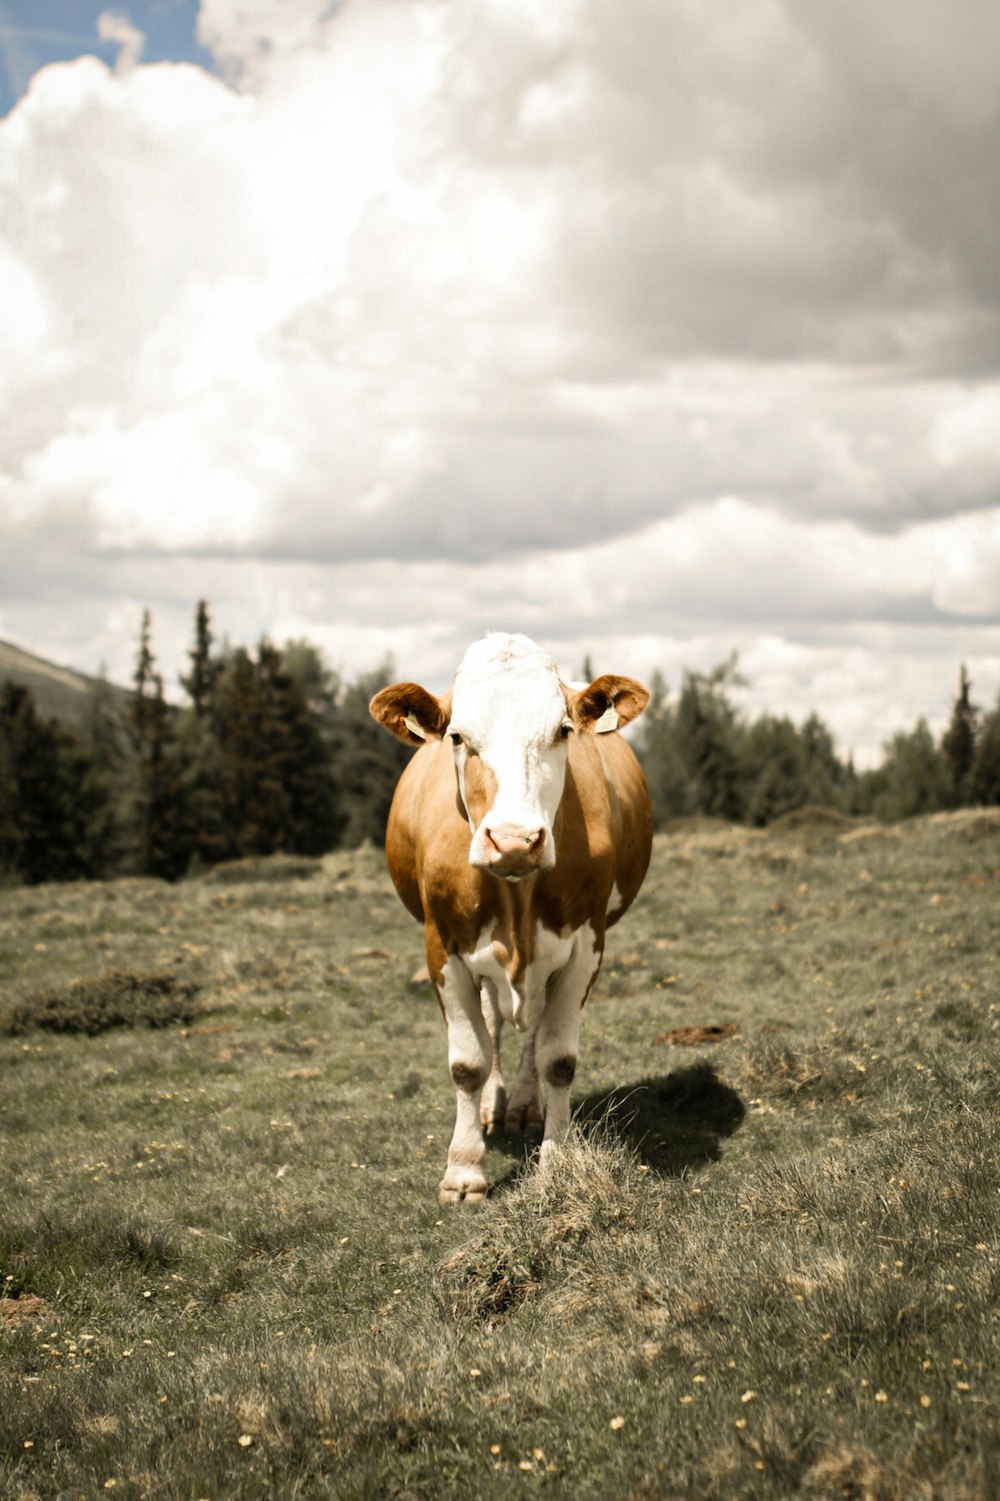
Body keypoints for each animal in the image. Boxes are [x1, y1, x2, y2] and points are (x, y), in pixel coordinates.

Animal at [369, 633, 651, 1206]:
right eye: (457, 736)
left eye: (563, 730)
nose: (516, 840)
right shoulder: (442, 948)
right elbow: (468, 1062)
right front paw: (463, 1170)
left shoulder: (586, 944)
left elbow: (557, 1058)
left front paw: (556, 1163)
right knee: (493, 1023)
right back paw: (491, 1106)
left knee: (532, 1028)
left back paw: (521, 1103)